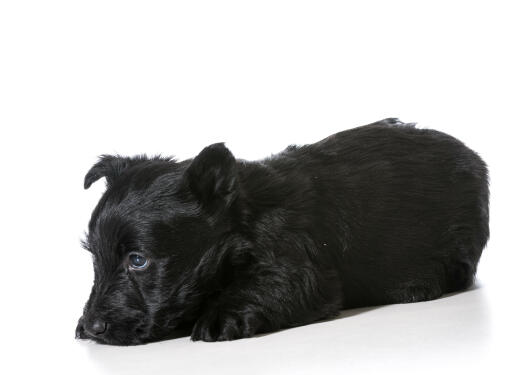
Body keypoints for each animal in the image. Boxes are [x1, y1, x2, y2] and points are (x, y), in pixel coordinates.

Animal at [75, 119, 488, 346]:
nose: (94, 327)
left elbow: (263, 287)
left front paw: (219, 315)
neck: (245, 217)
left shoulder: (299, 269)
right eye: (94, 258)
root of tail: (473, 156)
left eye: (138, 260)